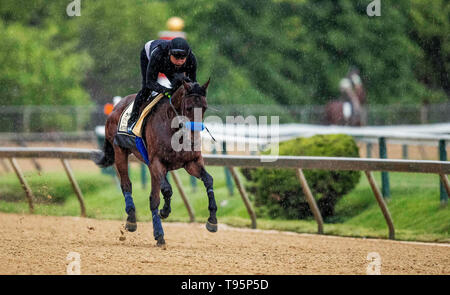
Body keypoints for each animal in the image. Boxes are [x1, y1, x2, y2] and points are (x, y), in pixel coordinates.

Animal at [93, 78, 216, 247]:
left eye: (204, 107)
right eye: (189, 107)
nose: (194, 138)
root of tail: (117, 106)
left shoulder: (191, 162)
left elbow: (208, 180)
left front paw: (212, 220)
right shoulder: (157, 162)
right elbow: (167, 190)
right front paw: (164, 211)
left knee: (153, 198)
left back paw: (158, 234)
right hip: (120, 151)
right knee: (126, 184)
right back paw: (132, 220)